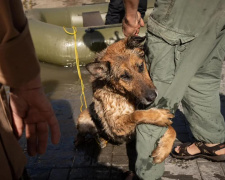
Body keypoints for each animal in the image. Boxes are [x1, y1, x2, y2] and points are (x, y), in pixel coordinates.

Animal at [76, 35, 177, 163]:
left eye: (140, 66)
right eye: (124, 76)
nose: (153, 96)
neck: (124, 94)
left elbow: (172, 130)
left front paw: (163, 150)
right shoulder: (116, 124)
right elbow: (136, 114)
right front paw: (158, 116)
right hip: (83, 119)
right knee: (82, 134)